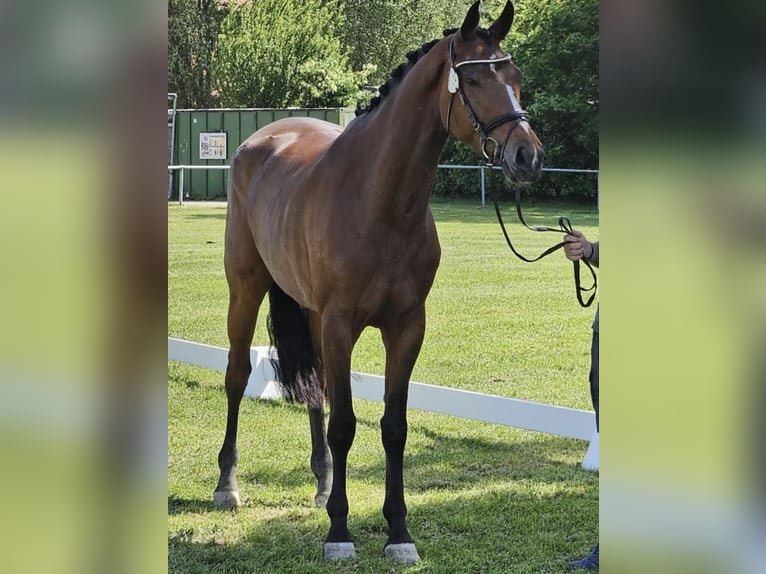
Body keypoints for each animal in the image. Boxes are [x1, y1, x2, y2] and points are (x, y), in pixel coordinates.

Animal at [213, 0, 544, 564]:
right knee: (238, 376)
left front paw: (398, 531)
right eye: (475, 78)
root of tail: (260, 138)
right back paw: (228, 485)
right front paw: (340, 533)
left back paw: (323, 484)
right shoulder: (342, 324)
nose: (528, 156)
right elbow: (347, 424)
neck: (379, 201)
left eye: (517, 79)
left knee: (316, 388)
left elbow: (393, 427)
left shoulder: (406, 327)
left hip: (311, 314)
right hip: (247, 288)